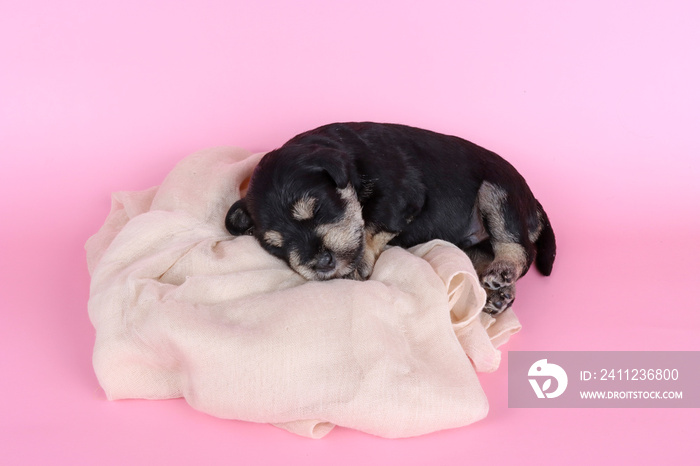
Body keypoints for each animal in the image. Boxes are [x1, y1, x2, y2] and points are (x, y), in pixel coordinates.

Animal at [227, 122, 556, 314]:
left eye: (317, 209)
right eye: (276, 246)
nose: (321, 263)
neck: (350, 160)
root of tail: (534, 203)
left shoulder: (402, 195)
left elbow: (374, 223)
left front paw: (360, 262)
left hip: (497, 193)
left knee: (519, 247)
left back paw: (503, 271)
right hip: (469, 244)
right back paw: (493, 294)